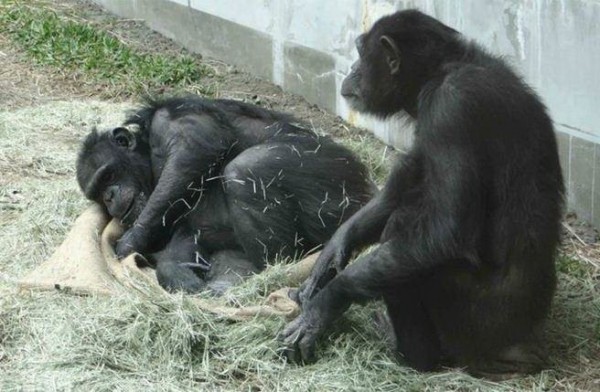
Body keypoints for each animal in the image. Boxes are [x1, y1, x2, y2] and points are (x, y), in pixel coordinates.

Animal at [75, 97, 376, 294]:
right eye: (98, 194)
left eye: (107, 176)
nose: (110, 197)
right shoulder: (181, 229)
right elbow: (184, 243)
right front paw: (177, 272)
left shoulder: (170, 122)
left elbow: (193, 151)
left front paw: (129, 243)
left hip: (336, 187)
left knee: (247, 167)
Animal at [280, 9, 564, 376]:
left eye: (360, 53)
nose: (353, 69)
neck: (439, 73)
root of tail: (521, 346)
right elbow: (407, 178)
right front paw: (333, 252)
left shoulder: (450, 111)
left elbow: (446, 229)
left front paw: (324, 305)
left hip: (476, 326)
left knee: (404, 234)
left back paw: (413, 353)